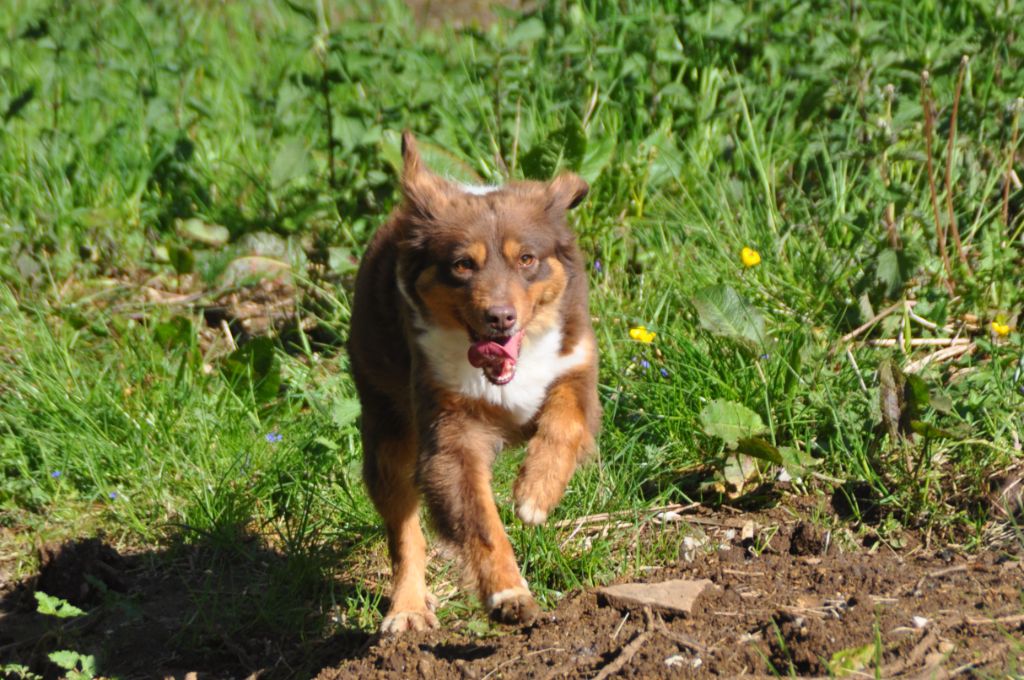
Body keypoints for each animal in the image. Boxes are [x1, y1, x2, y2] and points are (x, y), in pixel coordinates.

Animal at [348, 131, 598, 630]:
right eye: (463, 264)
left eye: (527, 259)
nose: (500, 318)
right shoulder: (449, 432)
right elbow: (481, 524)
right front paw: (509, 594)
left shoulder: (576, 365)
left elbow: (567, 420)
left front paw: (536, 492)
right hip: (386, 430)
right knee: (404, 530)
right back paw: (407, 609)